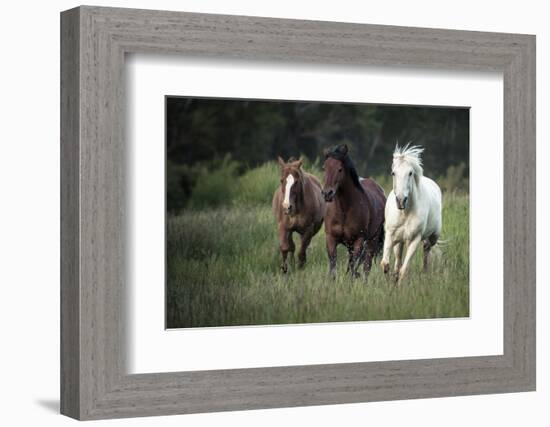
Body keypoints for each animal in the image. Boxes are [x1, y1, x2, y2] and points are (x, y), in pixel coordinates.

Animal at [322, 145, 386, 280]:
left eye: (340, 169)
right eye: (324, 168)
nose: (327, 193)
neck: (343, 210)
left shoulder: (358, 241)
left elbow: (353, 266)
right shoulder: (331, 238)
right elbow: (333, 265)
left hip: (372, 241)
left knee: (367, 265)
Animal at [384, 145, 444, 286]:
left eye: (410, 173)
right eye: (393, 173)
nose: (401, 200)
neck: (405, 213)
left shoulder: (414, 240)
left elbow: (404, 270)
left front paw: (399, 286)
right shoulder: (390, 235)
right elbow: (386, 264)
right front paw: (390, 283)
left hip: (433, 237)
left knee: (426, 249)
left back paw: (424, 273)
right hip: (399, 240)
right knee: (398, 258)